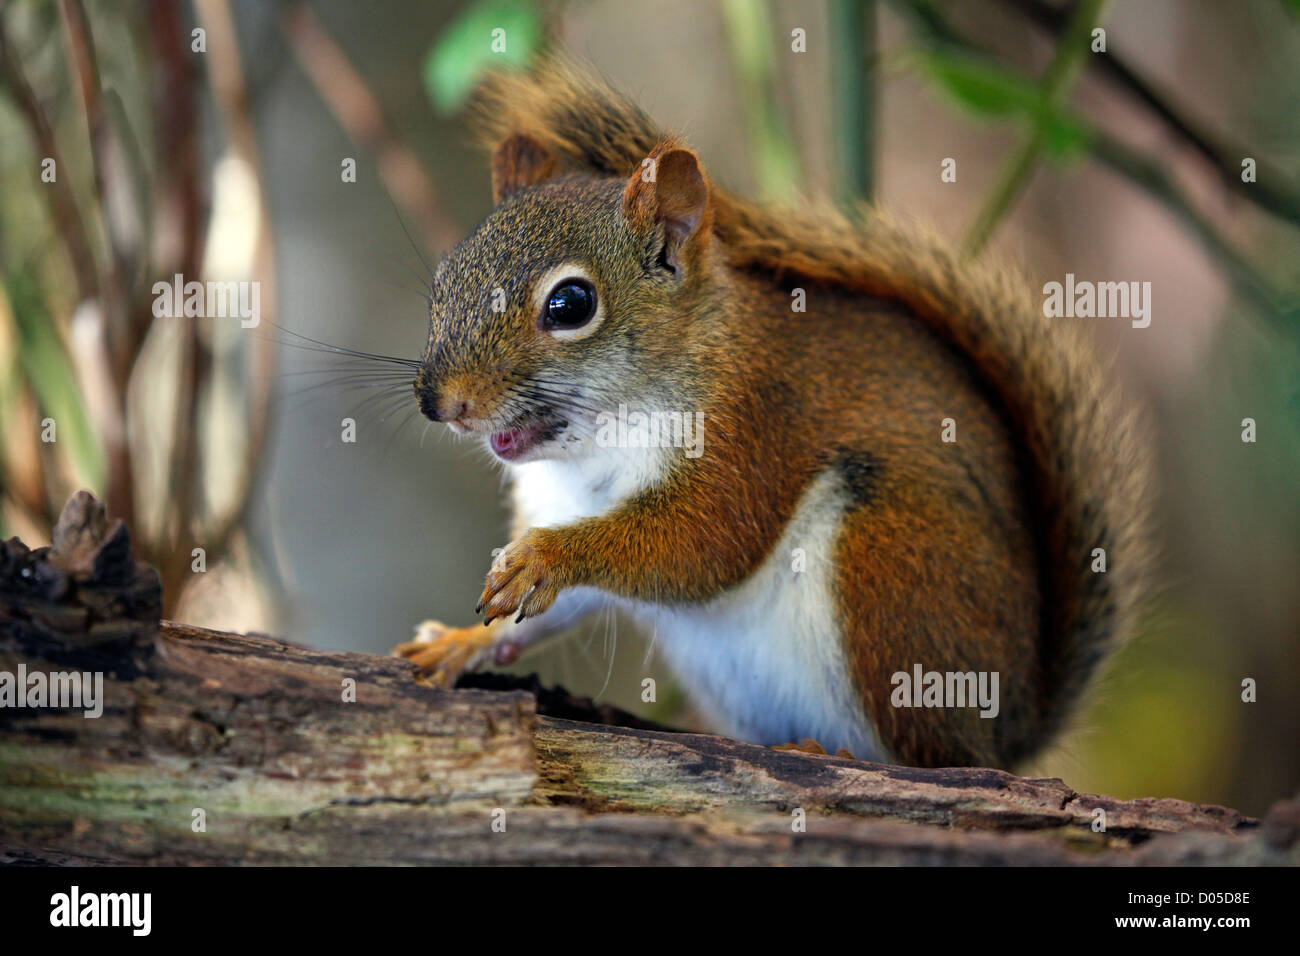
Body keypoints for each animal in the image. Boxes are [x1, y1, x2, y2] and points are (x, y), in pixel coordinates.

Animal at [393, 58, 1152, 769]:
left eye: (571, 304)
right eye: (443, 281)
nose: (441, 403)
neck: (592, 445)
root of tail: (1014, 726)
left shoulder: (752, 426)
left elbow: (703, 544)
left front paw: (547, 557)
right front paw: (461, 642)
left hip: (890, 571)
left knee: (935, 755)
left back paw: (835, 754)